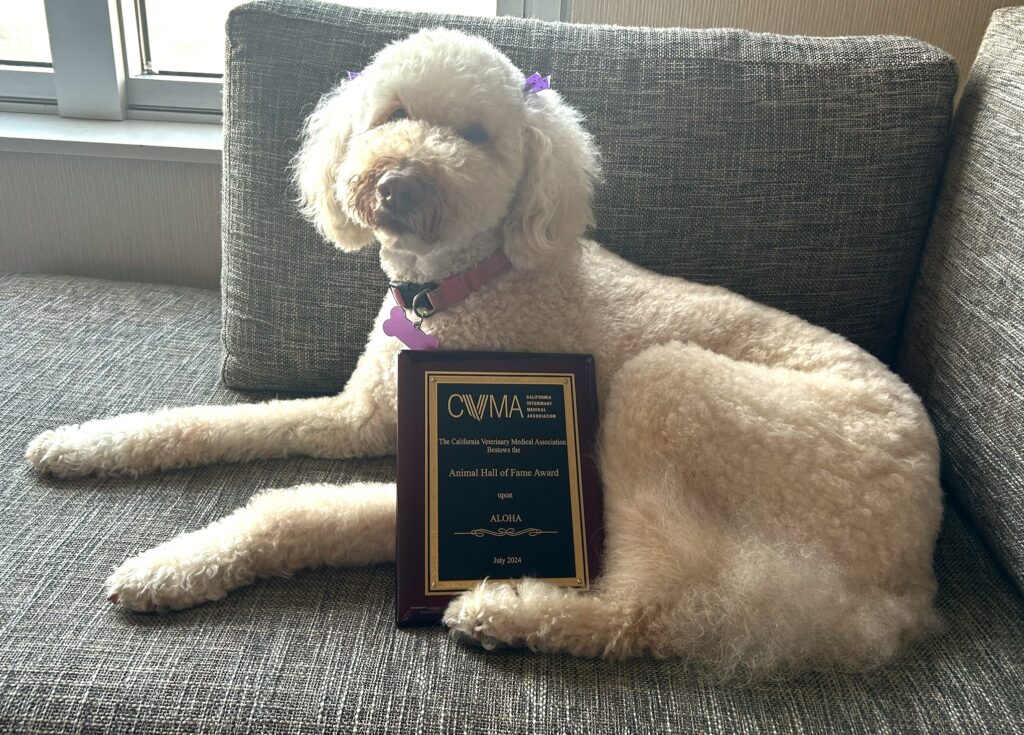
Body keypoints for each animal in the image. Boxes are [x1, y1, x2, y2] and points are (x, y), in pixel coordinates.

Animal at [24, 30, 937, 679]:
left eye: (476, 134)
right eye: (391, 112)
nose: (398, 184)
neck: (460, 286)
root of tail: (907, 579)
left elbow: (292, 509)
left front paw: (169, 565)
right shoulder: (361, 416)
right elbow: (204, 422)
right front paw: (85, 442)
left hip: (665, 390)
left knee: (660, 605)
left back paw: (505, 613)